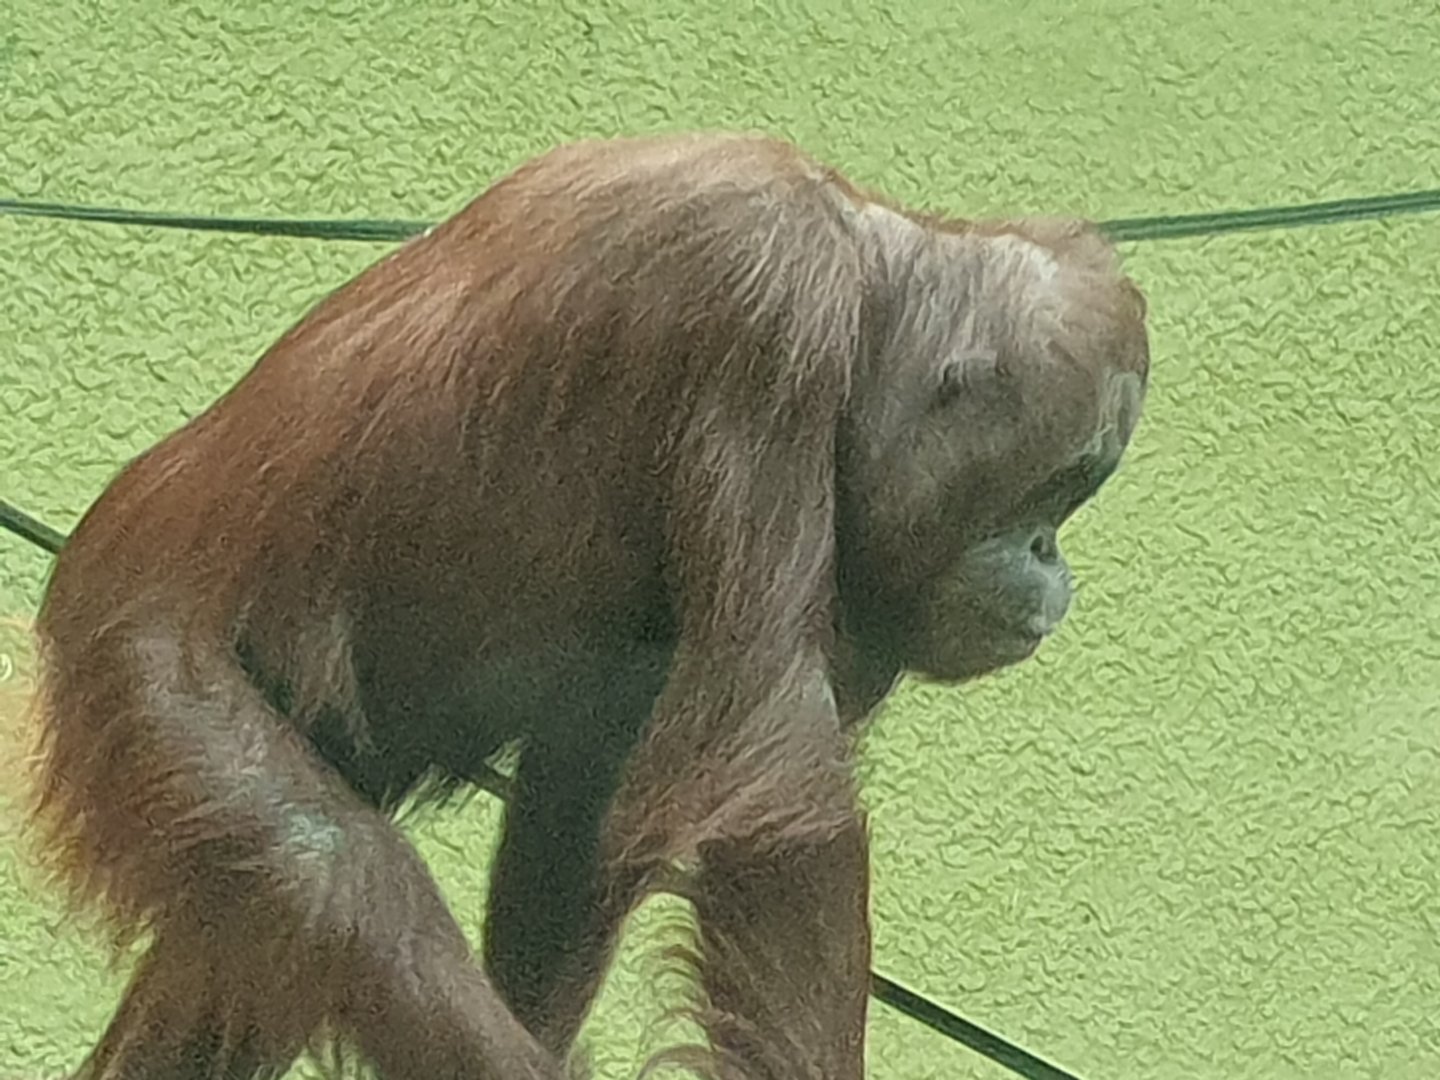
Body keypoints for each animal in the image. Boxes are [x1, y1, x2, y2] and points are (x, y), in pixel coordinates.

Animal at [21, 131, 1150, 1080]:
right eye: (1061, 483)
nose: (1051, 557)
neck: (870, 277)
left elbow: (596, 794)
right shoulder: (765, 308)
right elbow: (773, 782)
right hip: (136, 644)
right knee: (330, 876)